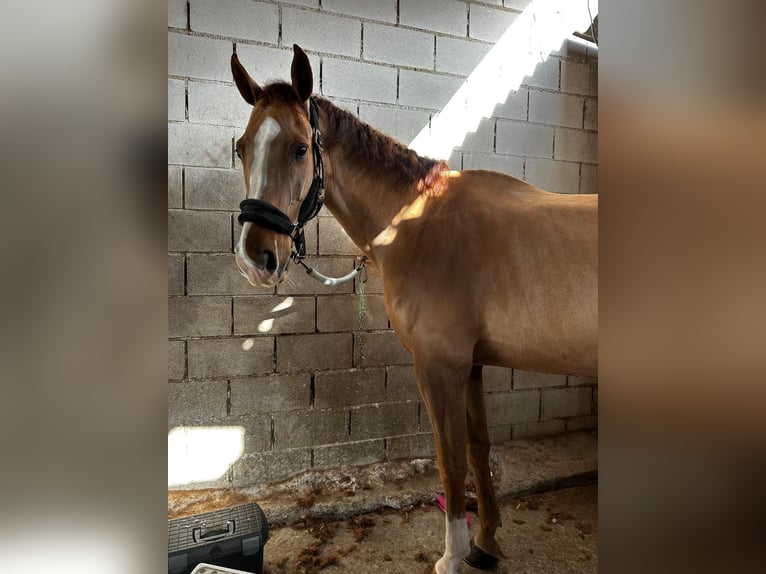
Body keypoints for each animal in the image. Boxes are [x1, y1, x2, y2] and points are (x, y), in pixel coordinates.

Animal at [230, 42, 600, 572]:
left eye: (300, 148)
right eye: (241, 147)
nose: (255, 258)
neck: (418, 221)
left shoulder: (439, 367)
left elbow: (450, 462)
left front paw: (452, 556)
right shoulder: (470, 366)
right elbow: (478, 448)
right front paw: (486, 542)